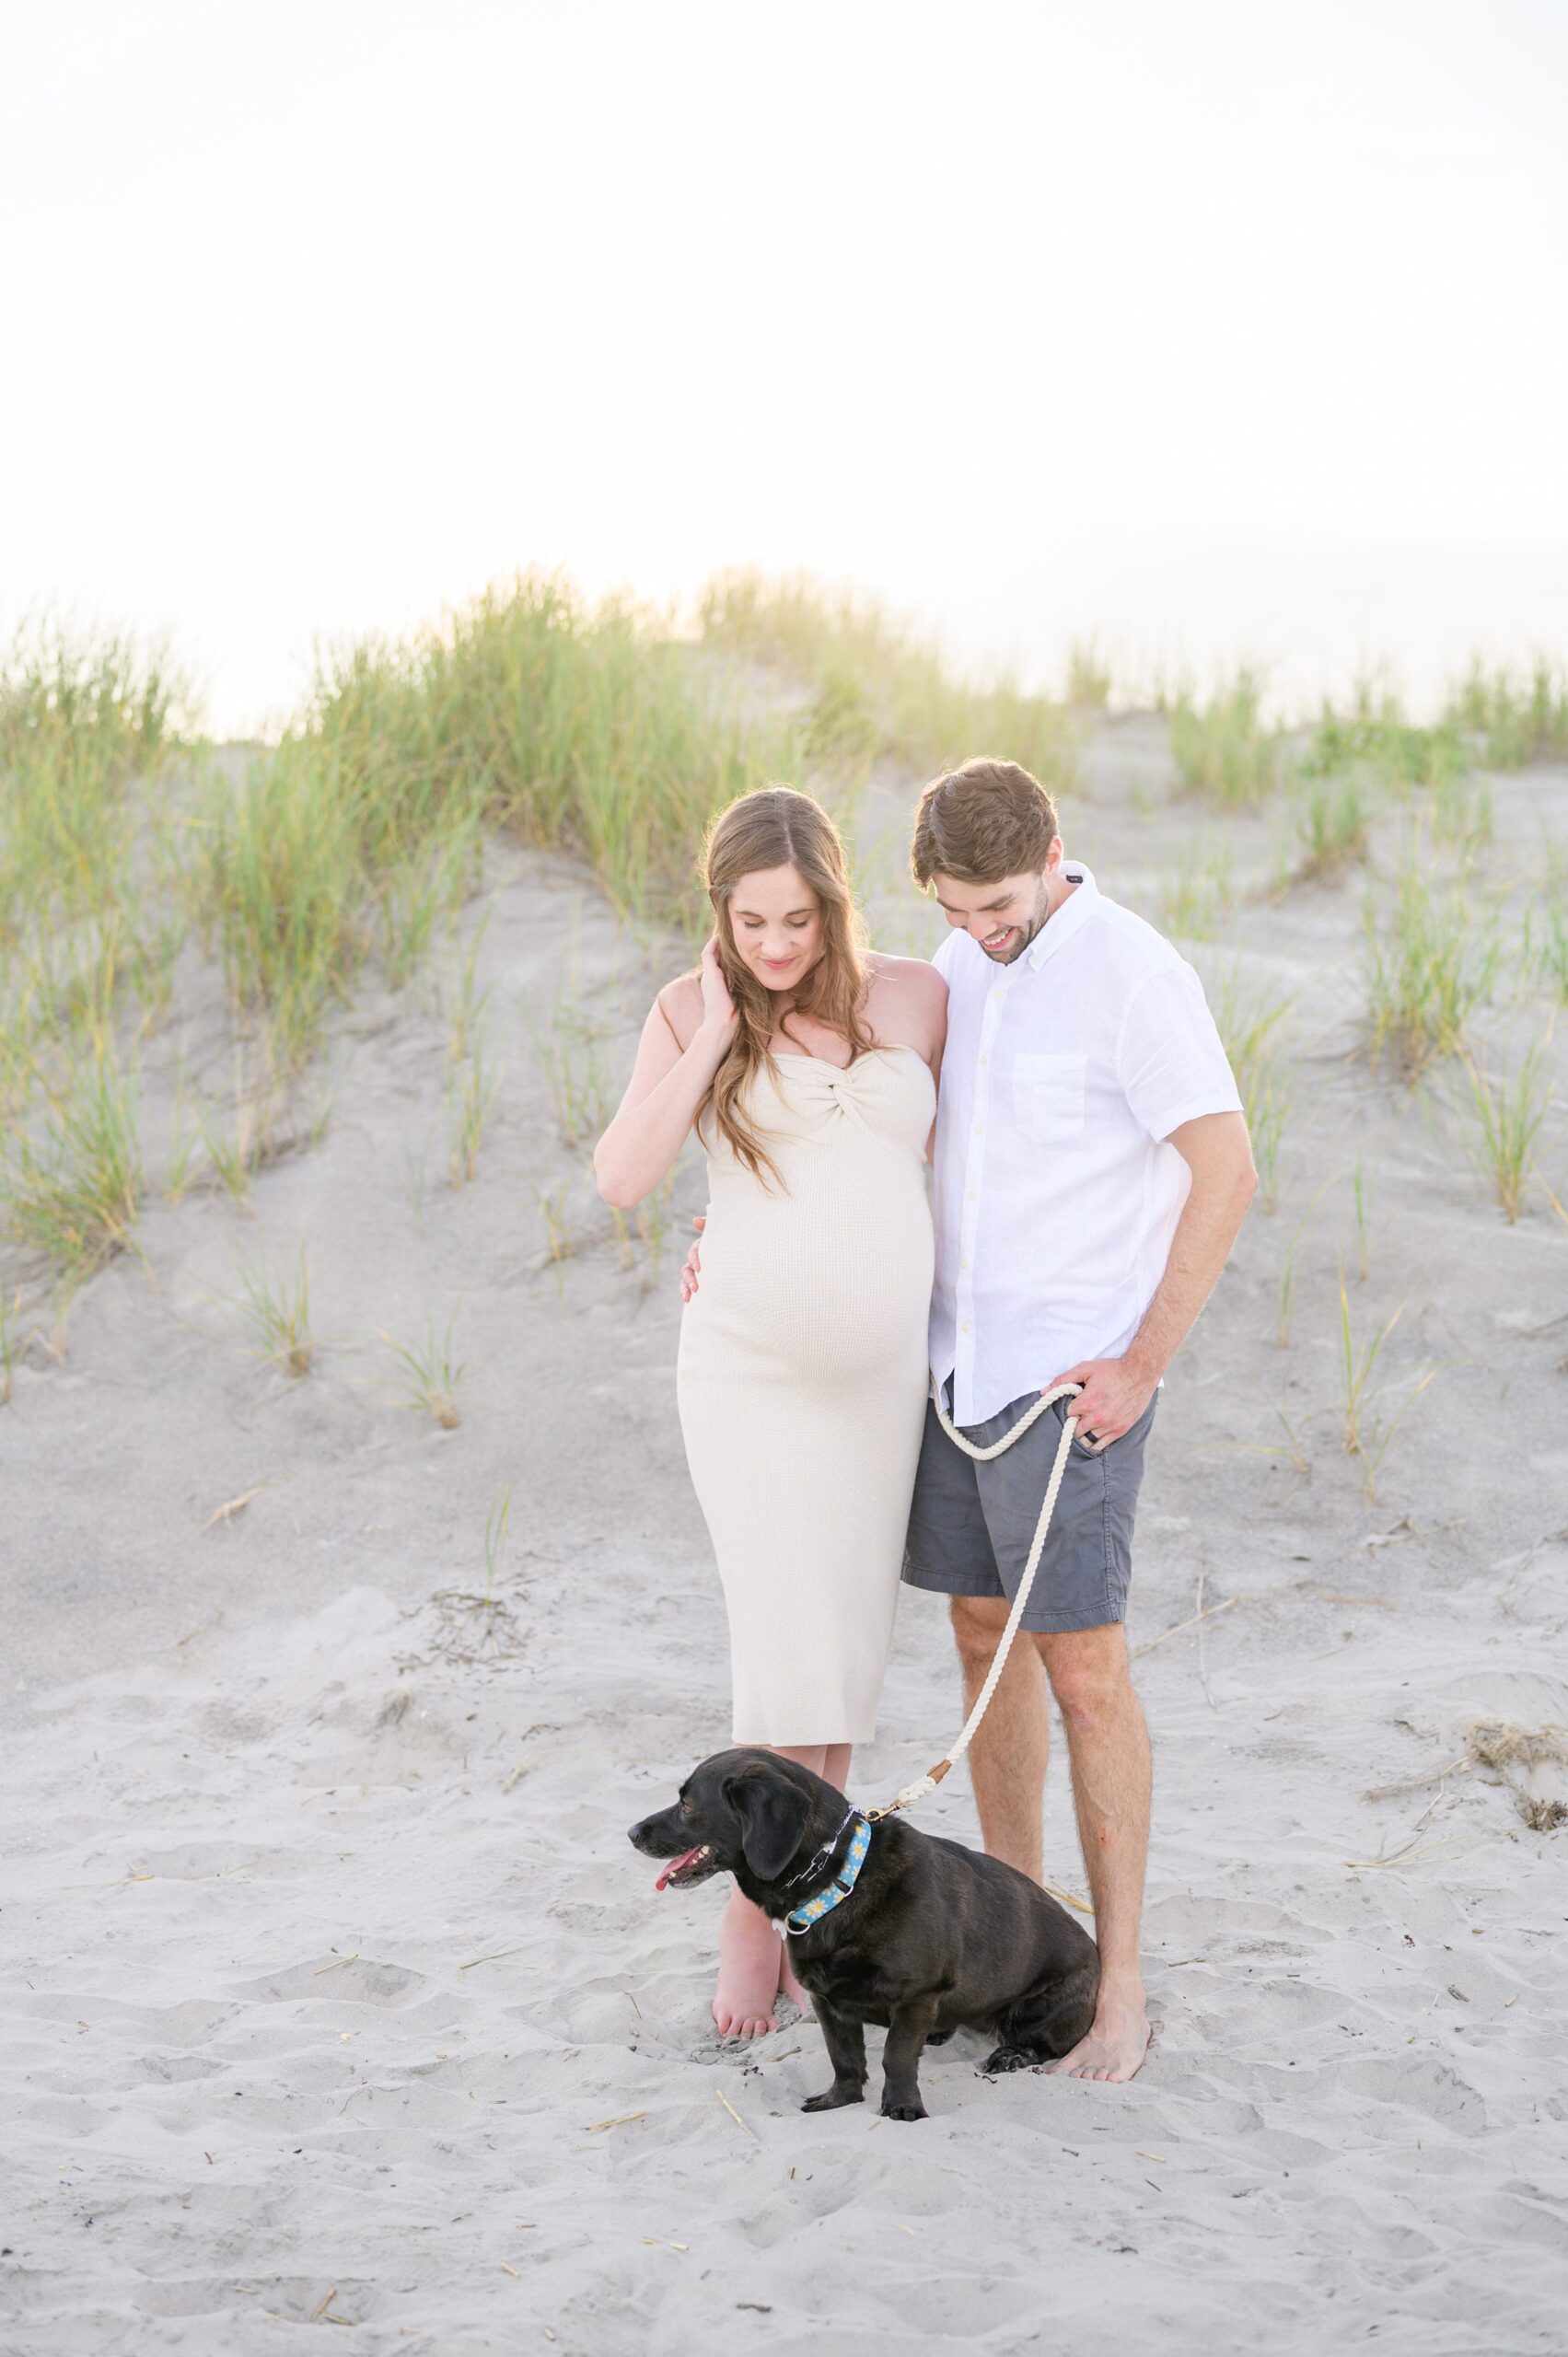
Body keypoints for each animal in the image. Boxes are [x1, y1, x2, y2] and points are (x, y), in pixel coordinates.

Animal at [632, 1753, 1094, 2121]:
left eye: (687, 1804)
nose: (632, 1832)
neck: (838, 1882)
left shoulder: (916, 1995)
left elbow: (896, 2056)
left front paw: (903, 2106)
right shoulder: (827, 2002)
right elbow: (844, 2056)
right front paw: (841, 2099)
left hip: (1038, 2010)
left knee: (1052, 2045)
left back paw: (1013, 2054)